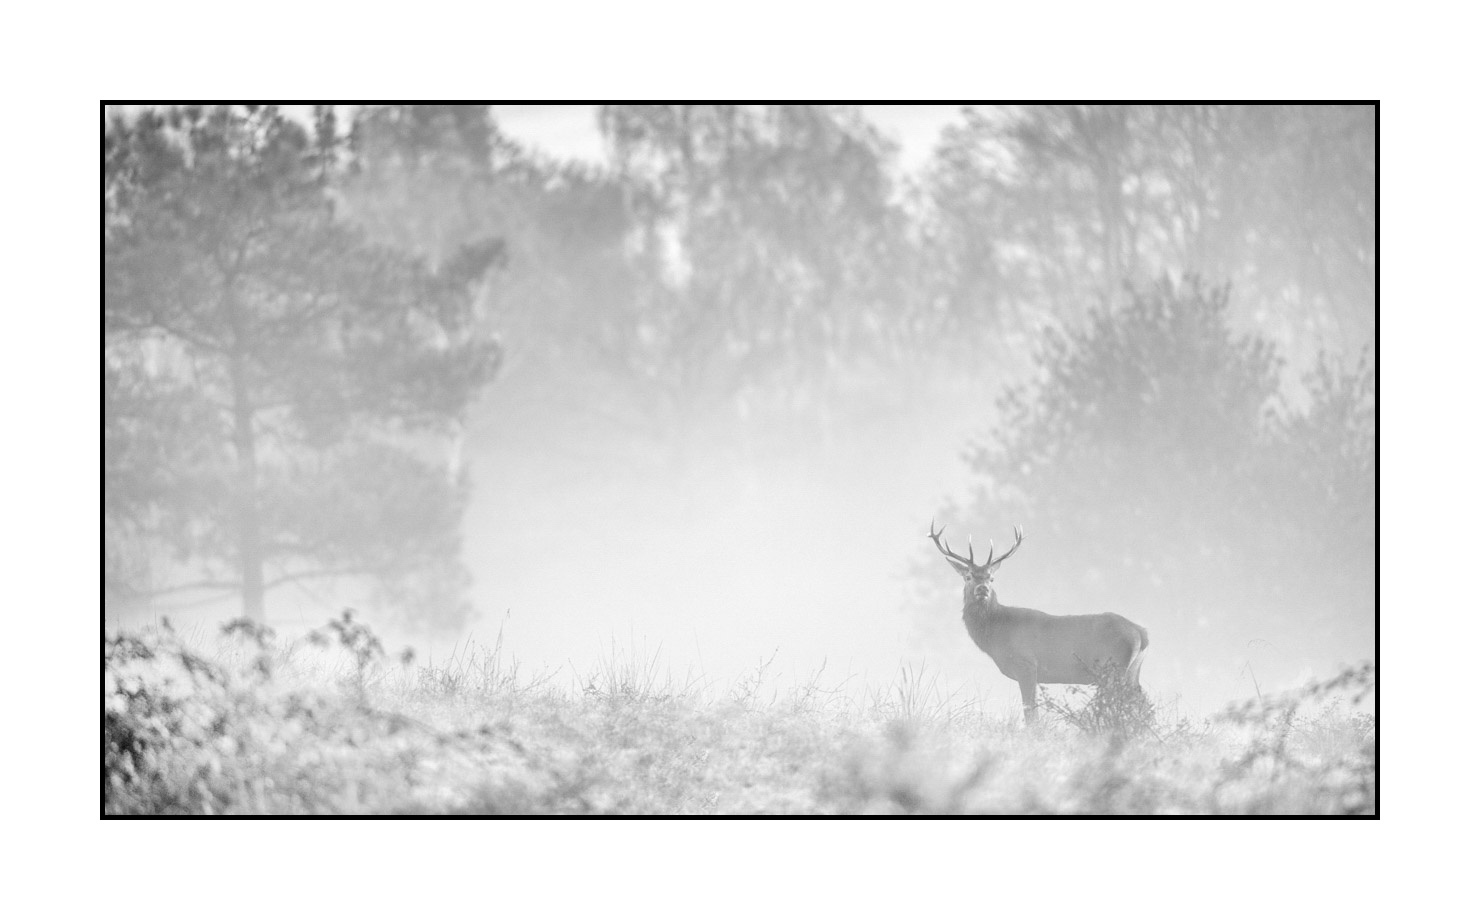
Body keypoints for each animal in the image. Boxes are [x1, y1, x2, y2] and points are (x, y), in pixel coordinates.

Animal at [928, 520, 1149, 726]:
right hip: (1132, 670)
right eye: (968, 576)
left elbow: (1030, 712)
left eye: (991, 578)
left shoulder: (1026, 664)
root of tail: (1141, 632)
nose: (982, 589)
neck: (997, 634)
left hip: (1114, 667)